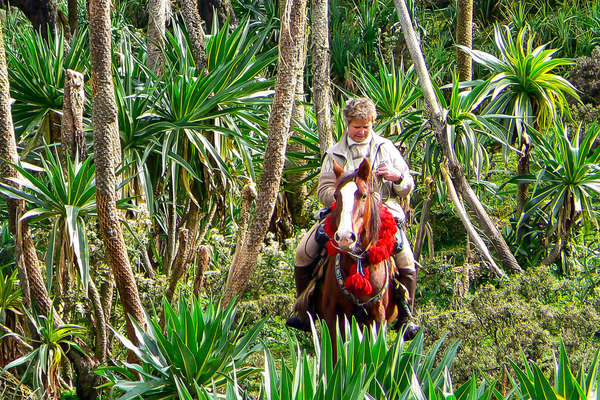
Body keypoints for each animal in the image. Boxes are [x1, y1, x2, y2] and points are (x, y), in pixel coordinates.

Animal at [314, 158, 398, 358]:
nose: (345, 237)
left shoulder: (377, 317)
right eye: (336, 196)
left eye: (363, 195)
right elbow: (334, 355)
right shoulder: (333, 315)